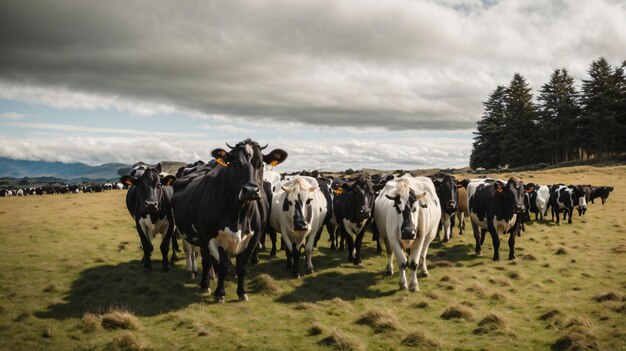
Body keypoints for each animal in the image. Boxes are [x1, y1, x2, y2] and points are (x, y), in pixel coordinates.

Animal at [172, 140, 286, 302]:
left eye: (261, 165)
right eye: (236, 164)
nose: (251, 190)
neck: (238, 216)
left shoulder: (252, 238)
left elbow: (242, 267)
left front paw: (242, 292)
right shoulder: (211, 239)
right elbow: (223, 267)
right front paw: (220, 293)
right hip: (188, 234)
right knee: (199, 257)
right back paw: (203, 282)